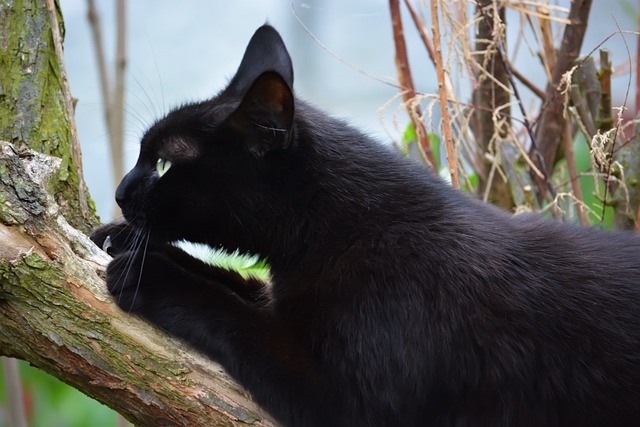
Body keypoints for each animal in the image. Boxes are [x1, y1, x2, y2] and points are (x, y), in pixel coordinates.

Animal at [92, 24, 640, 427]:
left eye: (164, 164)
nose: (118, 192)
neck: (341, 228)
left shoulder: (352, 400)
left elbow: (230, 313)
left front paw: (149, 274)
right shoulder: (283, 298)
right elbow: (234, 282)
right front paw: (120, 240)